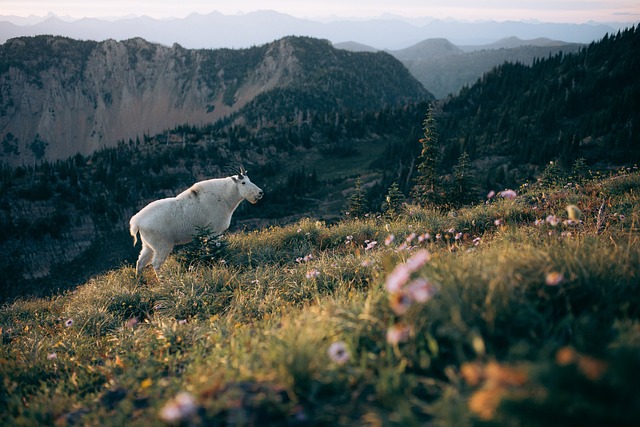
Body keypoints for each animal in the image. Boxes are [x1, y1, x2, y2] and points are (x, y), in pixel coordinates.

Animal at [130, 169, 262, 276]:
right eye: (243, 182)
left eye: (249, 180)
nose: (260, 193)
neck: (225, 197)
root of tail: (137, 222)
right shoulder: (214, 231)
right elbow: (214, 249)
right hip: (162, 244)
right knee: (156, 263)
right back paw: (163, 281)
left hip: (148, 245)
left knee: (140, 261)